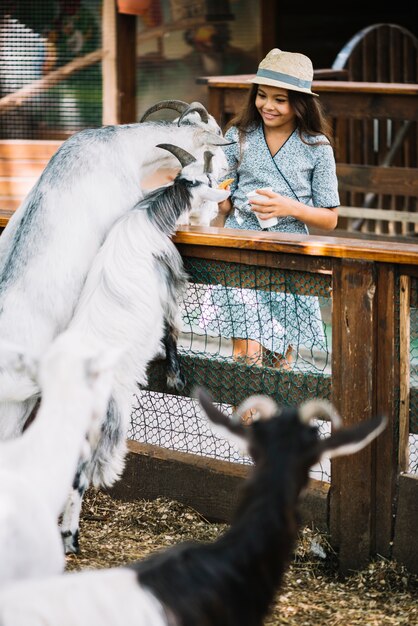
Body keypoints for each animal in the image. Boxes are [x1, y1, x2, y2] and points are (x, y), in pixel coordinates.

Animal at [56, 146, 229, 552]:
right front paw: (176, 377)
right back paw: (71, 539)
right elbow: (172, 331)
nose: (220, 198)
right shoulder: (170, 287)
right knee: (78, 474)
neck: (147, 216)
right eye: (202, 181)